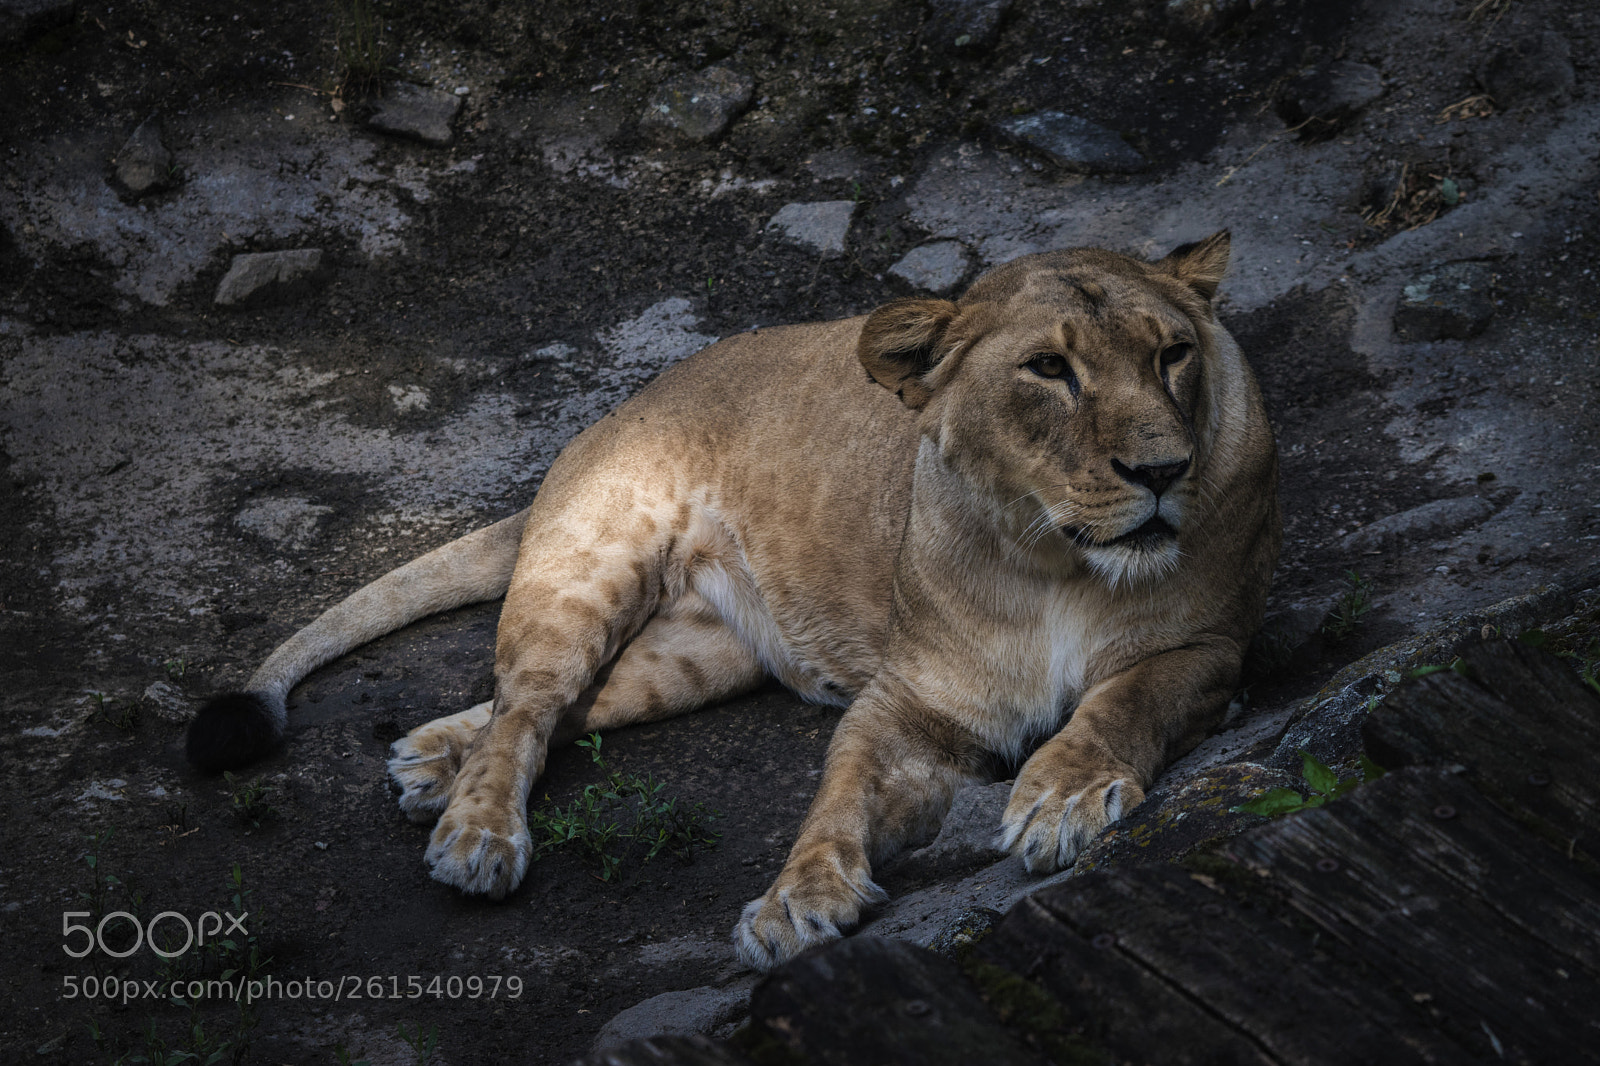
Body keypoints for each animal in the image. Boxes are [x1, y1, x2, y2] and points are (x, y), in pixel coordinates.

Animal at [187, 231, 1279, 971]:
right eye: (1049, 368)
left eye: (1173, 353)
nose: (1162, 470)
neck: (1052, 560)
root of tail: (609, 418)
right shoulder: (907, 702)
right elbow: (836, 795)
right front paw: (792, 905)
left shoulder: (1214, 646)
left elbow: (1122, 699)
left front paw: (1060, 794)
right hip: (588, 571)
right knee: (529, 704)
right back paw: (473, 830)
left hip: (701, 656)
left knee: (559, 704)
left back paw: (428, 766)